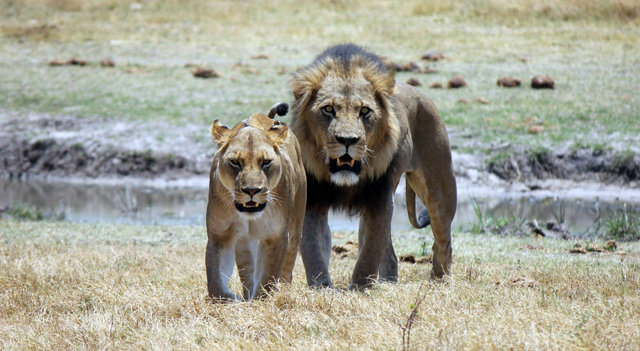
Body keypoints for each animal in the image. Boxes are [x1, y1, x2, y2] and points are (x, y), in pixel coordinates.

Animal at [205, 104, 304, 300]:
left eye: (266, 162)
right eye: (235, 162)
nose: (252, 191)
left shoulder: (276, 235)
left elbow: (268, 276)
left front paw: (261, 300)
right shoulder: (220, 236)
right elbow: (215, 283)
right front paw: (233, 300)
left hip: (296, 226)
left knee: (287, 268)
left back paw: (284, 293)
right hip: (244, 242)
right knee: (248, 270)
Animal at [290, 44, 456, 290]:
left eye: (365, 111)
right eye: (328, 109)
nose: (347, 140)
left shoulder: (379, 199)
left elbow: (369, 253)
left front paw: (359, 288)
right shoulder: (314, 201)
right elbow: (314, 250)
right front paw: (322, 288)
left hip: (441, 194)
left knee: (443, 243)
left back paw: (439, 282)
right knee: (391, 256)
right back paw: (389, 283)